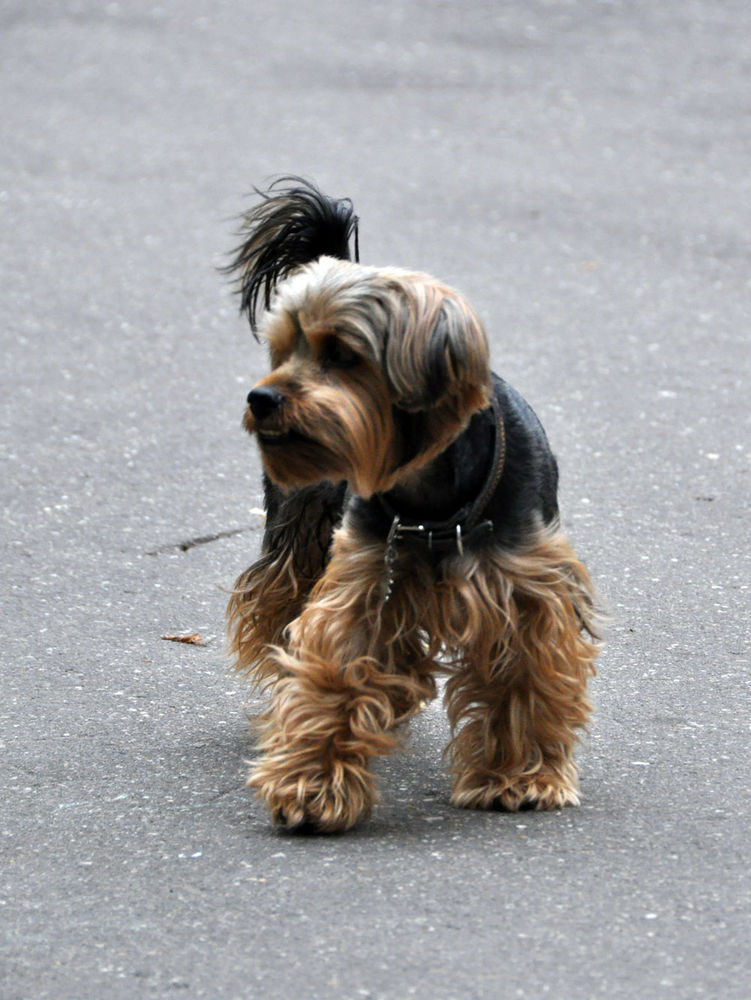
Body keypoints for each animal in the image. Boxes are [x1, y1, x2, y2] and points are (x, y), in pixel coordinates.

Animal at [226, 178, 604, 828]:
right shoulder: (364, 576)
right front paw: (312, 782)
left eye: (341, 354)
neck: (431, 496)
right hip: (303, 522)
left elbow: (521, 676)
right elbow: (335, 669)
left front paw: (520, 776)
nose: (261, 398)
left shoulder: (522, 587)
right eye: (281, 351)